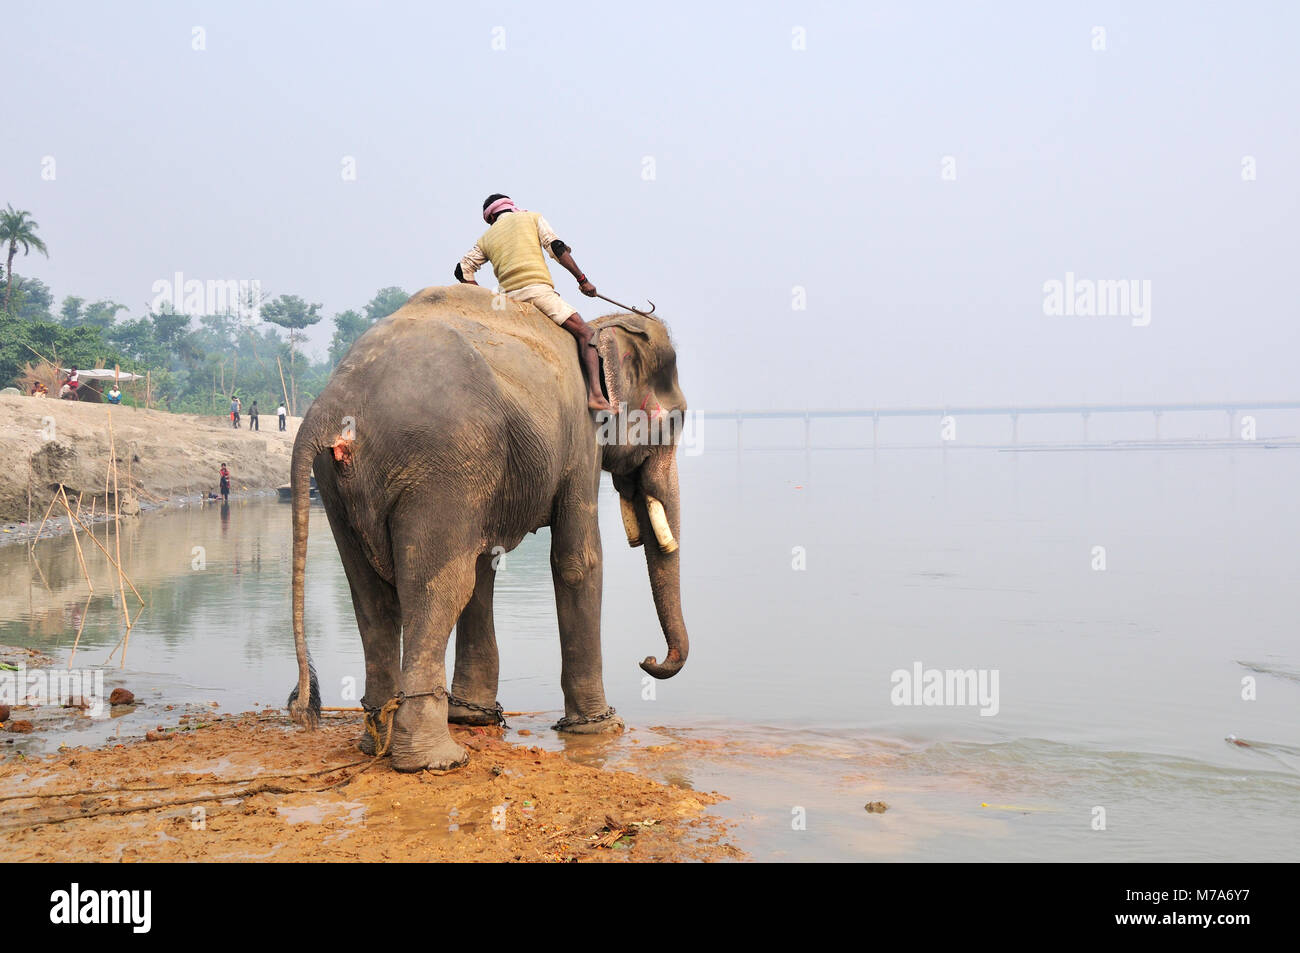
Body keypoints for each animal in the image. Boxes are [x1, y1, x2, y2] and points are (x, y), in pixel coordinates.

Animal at [286, 278, 691, 769]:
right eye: (677, 420)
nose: (649, 660)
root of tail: (331, 406)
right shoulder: (580, 438)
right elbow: (577, 561)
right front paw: (602, 728)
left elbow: (484, 564)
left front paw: (474, 716)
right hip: (439, 465)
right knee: (437, 589)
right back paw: (435, 759)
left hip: (338, 486)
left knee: (372, 595)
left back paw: (377, 740)